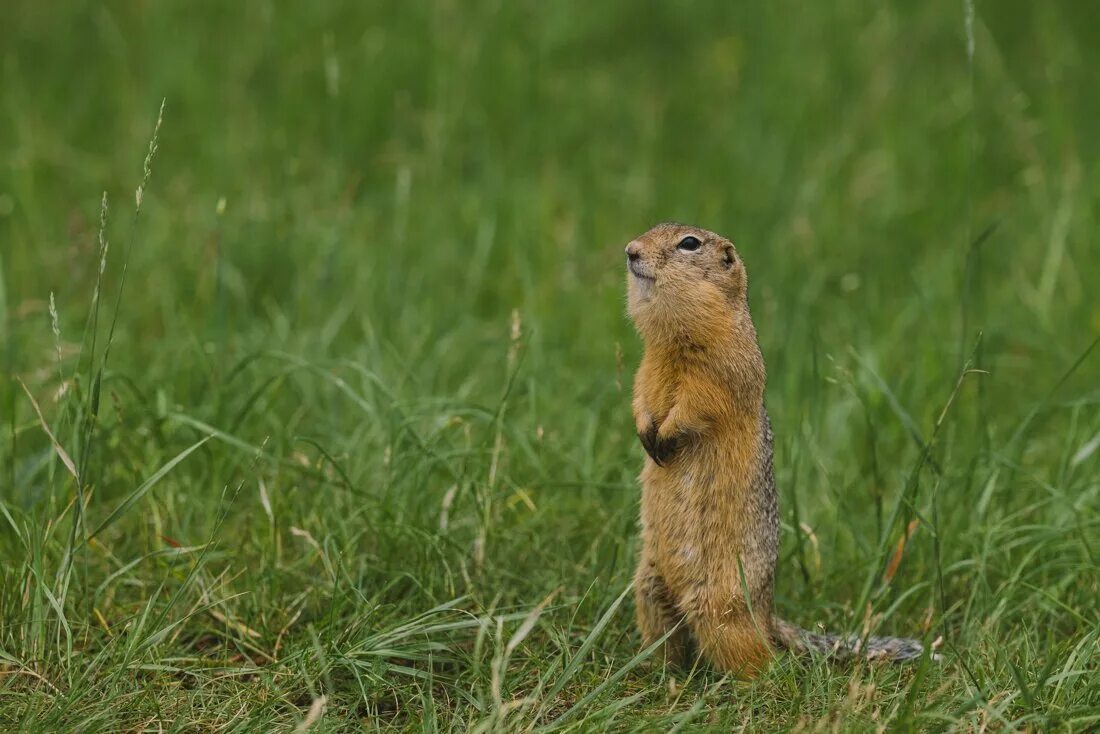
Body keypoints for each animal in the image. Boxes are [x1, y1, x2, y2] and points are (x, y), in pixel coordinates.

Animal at [629, 221, 928, 673]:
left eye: (689, 243)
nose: (630, 250)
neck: (674, 342)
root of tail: (768, 612)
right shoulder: (647, 365)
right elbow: (641, 395)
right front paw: (647, 431)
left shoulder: (722, 368)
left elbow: (700, 402)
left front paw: (667, 435)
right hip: (649, 587)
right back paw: (656, 671)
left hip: (719, 610)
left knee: (759, 656)